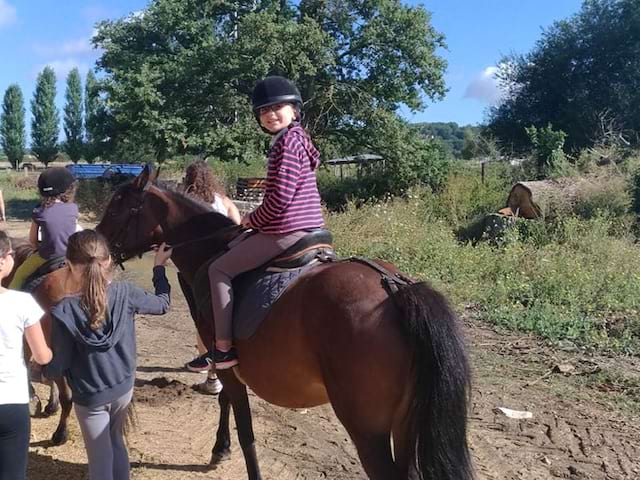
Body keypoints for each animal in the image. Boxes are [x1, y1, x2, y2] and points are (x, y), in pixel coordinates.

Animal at [96, 166, 476, 480]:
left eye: (115, 209)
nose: (95, 246)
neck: (211, 249)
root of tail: (394, 287)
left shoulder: (225, 363)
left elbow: (245, 428)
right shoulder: (228, 366)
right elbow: (227, 404)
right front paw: (220, 449)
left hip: (368, 431)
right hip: (403, 424)